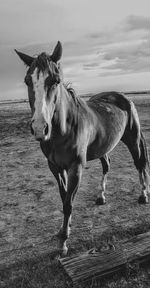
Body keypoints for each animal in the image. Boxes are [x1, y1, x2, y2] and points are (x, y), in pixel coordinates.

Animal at [14, 41, 149, 255]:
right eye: (27, 80)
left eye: (56, 80)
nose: (39, 128)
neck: (64, 128)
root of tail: (123, 98)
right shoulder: (55, 167)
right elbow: (63, 198)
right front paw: (65, 228)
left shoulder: (75, 167)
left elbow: (69, 203)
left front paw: (63, 242)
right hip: (103, 148)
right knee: (107, 166)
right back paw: (101, 196)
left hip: (133, 140)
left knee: (140, 164)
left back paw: (143, 195)